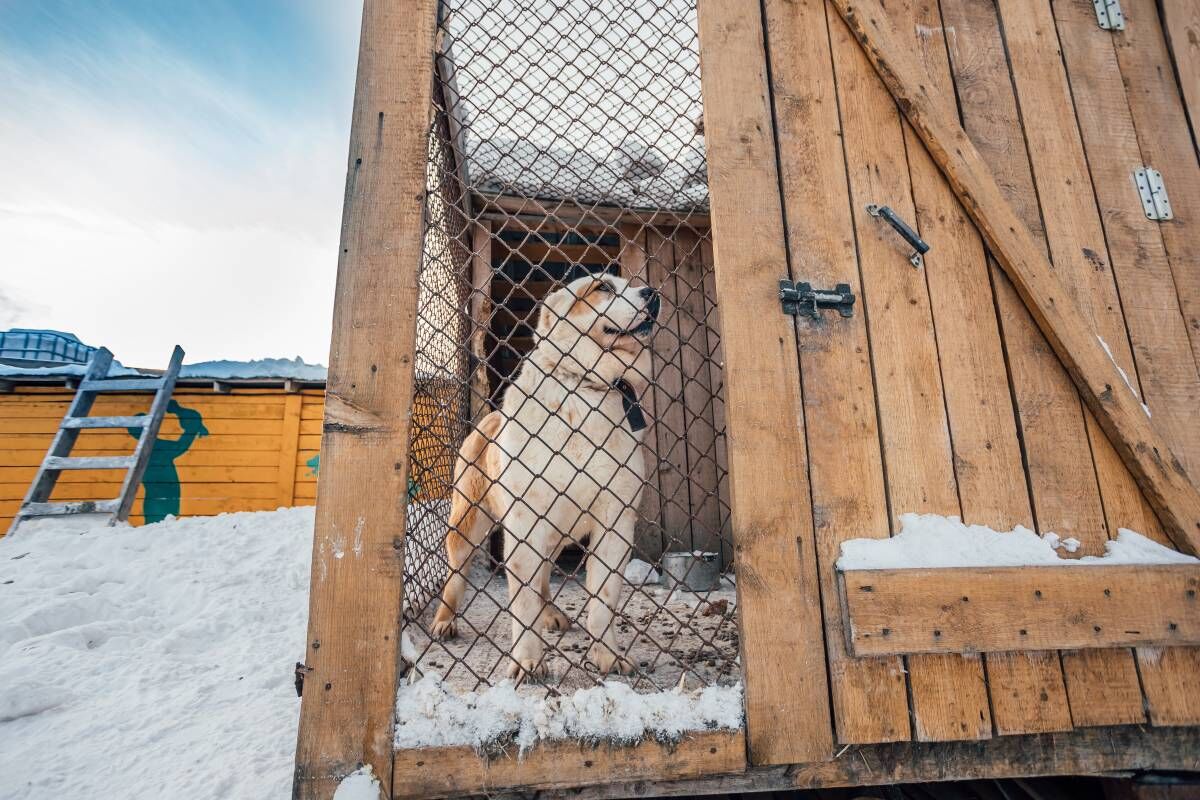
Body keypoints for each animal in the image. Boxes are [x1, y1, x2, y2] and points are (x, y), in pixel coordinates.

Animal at [429, 272, 657, 681]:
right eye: (602, 288)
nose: (653, 294)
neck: (585, 389)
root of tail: (489, 418)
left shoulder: (614, 524)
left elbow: (602, 601)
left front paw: (608, 656)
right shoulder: (524, 524)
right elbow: (523, 606)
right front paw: (527, 661)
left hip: (555, 536)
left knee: (545, 579)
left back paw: (551, 613)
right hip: (467, 523)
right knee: (456, 576)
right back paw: (444, 621)